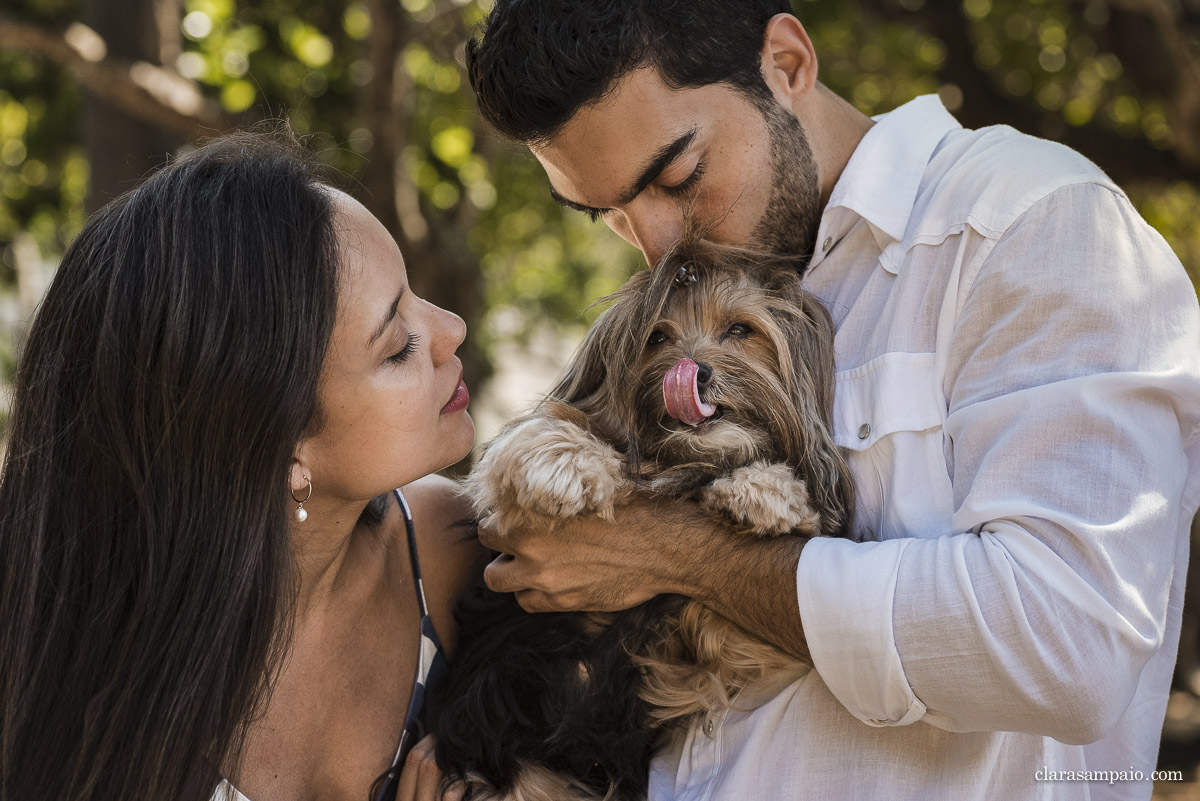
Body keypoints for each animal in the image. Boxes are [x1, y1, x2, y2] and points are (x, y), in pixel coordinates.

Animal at [436, 239, 859, 801]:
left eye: (740, 330)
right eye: (656, 336)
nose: (695, 372)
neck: (681, 461)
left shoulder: (708, 645)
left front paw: (766, 491)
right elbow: (542, 431)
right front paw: (565, 463)